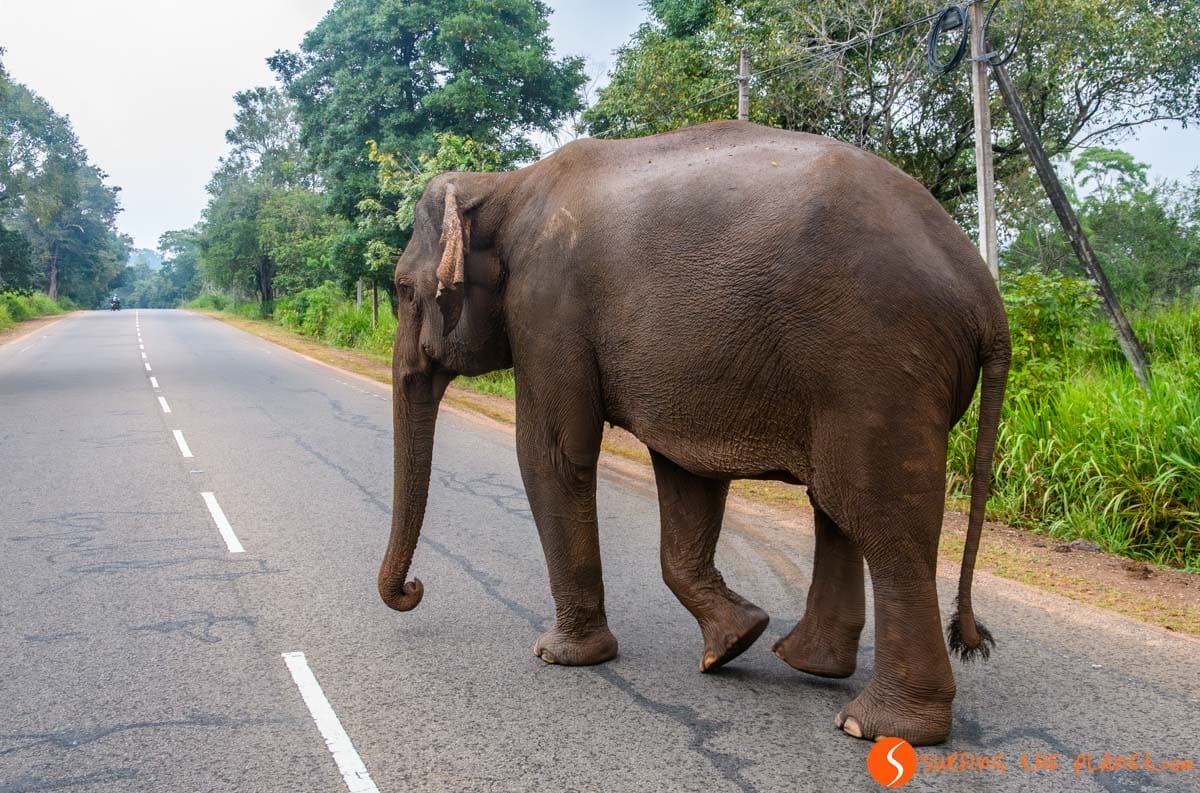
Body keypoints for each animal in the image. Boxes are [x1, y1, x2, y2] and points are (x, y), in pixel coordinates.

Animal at [379, 120, 1010, 746]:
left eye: (404, 290)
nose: (414, 590)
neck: (503, 183)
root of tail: (985, 294)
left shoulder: (548, 309)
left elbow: (553, 455)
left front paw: (560, 656)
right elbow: (687, 476)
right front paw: (733, 642)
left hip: (878, 360)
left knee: (878, 511)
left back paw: (876, 726)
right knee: (836, 504)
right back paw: (808, 663)